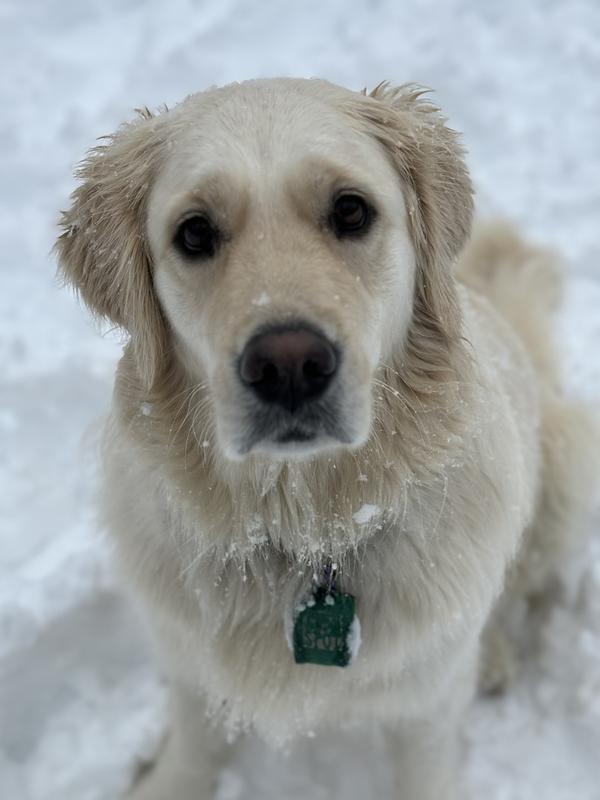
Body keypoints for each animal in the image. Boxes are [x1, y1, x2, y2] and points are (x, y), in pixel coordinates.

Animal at [56, 76, 596, 800]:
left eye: (350, 211)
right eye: (194, 232)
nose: (289, 366)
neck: (304, 526)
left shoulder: (426, 708)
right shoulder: (193, 666)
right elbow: (193, 746)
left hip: (568, 466)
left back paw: (496, 655)